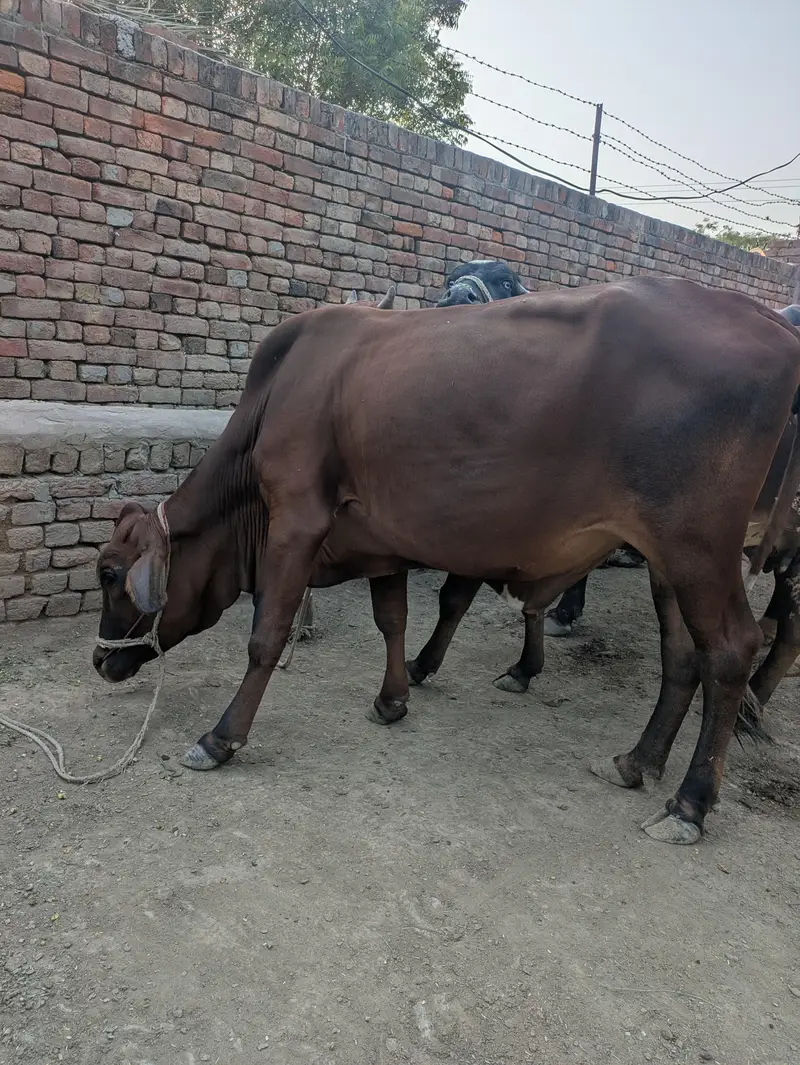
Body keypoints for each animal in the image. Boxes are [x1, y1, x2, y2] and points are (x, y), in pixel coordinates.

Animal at [93, 277, 800, 846]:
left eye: (109, 574)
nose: (100, 662)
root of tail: (766, 322)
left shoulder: (296, 519)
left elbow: (266, 636)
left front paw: (220, 738)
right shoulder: (378, 538)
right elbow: (393, 619)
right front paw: (393, 699)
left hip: (699, 548)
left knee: (732, 650)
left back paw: (689, 804)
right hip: (665, 557)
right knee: (681, 656)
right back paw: (638, 762)